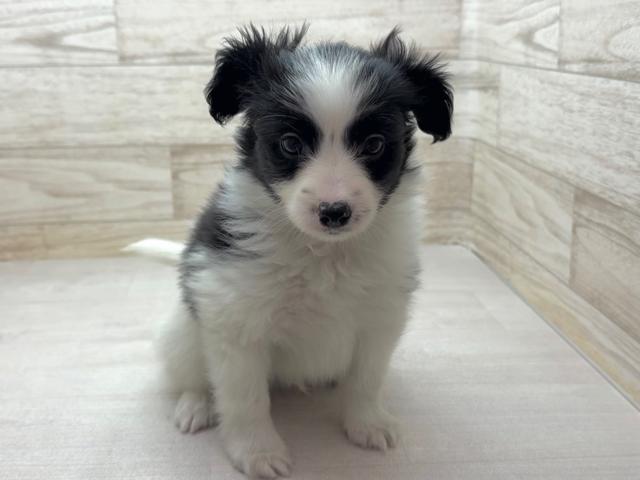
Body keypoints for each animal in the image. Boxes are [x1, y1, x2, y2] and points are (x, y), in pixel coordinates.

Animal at [126, 25, 452, 478]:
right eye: (291, 144)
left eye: (373, 144)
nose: (334, 212)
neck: (323, 253)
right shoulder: (235, 322)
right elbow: (245, 399)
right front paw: (257, 452)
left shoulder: (380, 317)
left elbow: (367, 379)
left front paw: (367, 424)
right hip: (183, 332)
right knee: (191, 373)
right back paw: (195, 405)